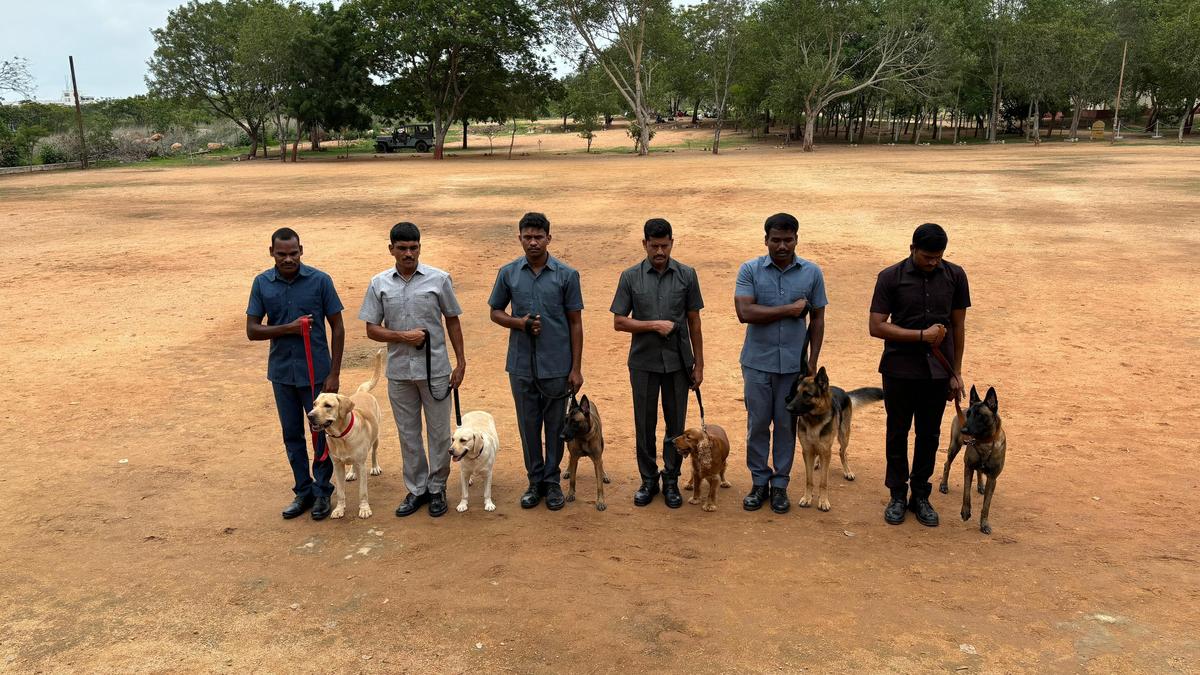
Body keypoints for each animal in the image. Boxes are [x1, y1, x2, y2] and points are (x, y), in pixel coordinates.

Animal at [307, 348, 381, 516]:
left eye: (328, 405)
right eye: (314, 404)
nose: (309, 415)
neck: (340, 437)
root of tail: (362, 391)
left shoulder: (361, 464)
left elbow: (362, 492)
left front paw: (364, 509)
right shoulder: (337, 465)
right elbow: (340, 492)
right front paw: (339, 509)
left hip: (376, 438)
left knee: (374, 452)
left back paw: (375, 467)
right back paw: (352, 473)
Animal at [936, 386, 1003, 533]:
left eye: (979, 415)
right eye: (969, 414)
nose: (964, 430)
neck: (984, 443)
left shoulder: (993, 478)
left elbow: (986, 506)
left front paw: (984, 524)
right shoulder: (968, 468)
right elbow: (966, 494)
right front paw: (965, 512)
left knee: (979, 471)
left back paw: (980, 485)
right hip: (954, 446)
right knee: (947, 464)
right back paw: (944, 485)